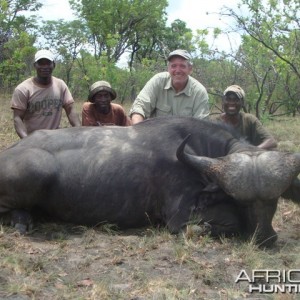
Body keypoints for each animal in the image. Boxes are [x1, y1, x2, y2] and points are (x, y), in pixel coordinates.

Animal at [0, 116, 300, 245]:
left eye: (274, 201)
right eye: (242, 202)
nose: (264, 238)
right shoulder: (180, 219)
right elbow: (227, 225)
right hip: (38, 170)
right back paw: (22, 220)